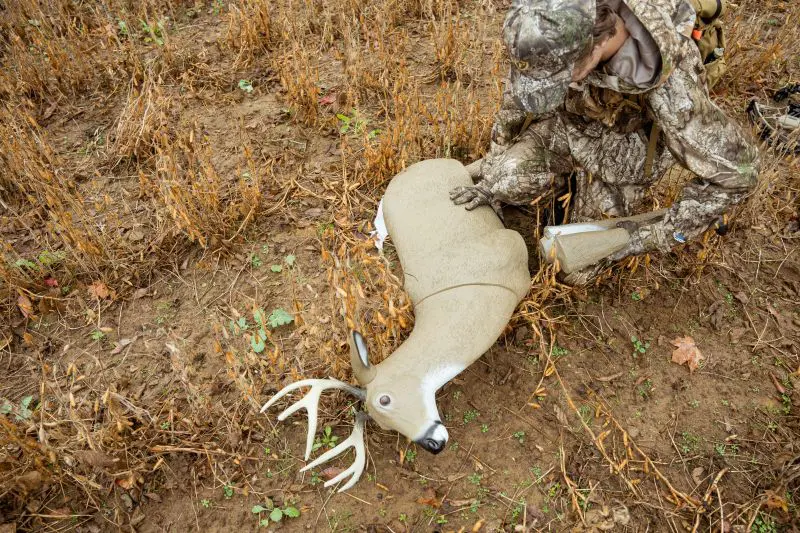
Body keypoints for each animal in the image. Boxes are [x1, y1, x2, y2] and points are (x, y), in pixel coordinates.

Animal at [262, 159, 530, 492]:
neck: (469, 293)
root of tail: (417, 168)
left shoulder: (511, 246)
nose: (434, 444)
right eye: (382, 424)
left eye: (384, 399)